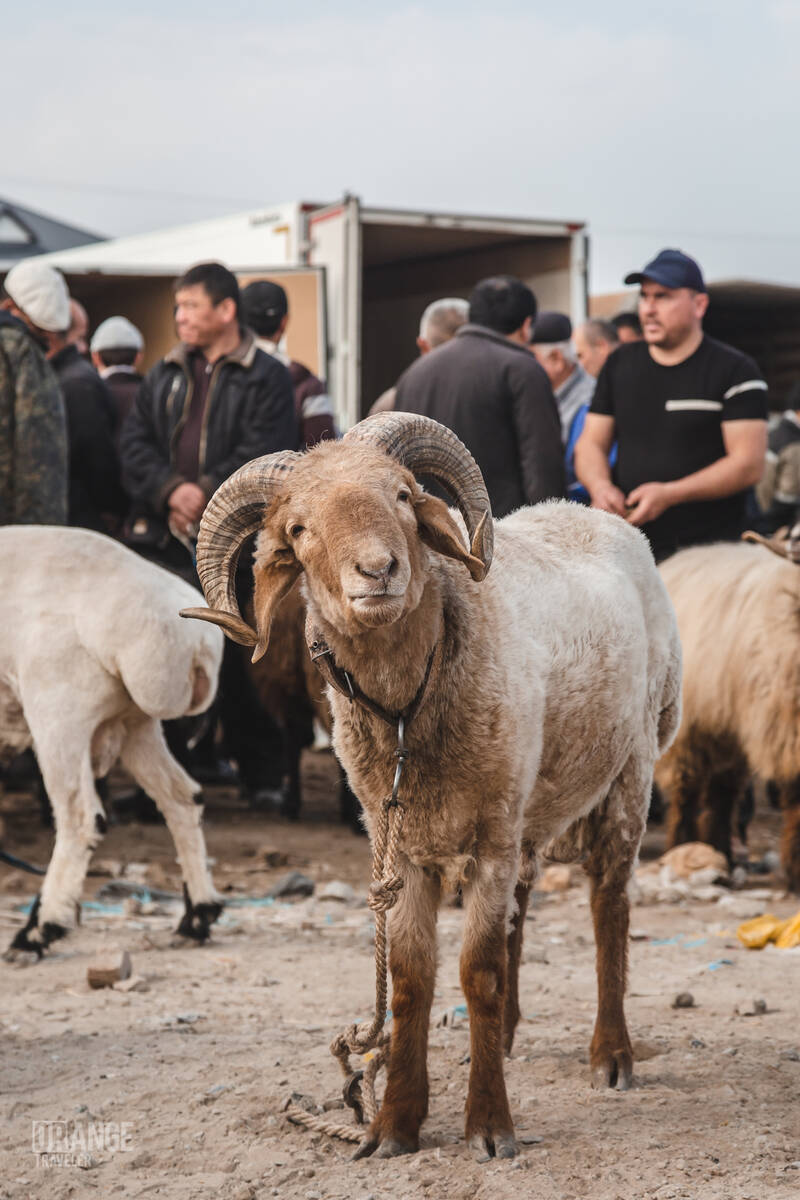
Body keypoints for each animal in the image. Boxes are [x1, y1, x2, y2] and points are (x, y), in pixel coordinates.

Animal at [0, 526, 224, 956]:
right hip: (135, 722)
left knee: (80, 819)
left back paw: (39, 930)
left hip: (59, 712)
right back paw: (197, 917)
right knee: (182, 797)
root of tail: (193, 638)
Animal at [182, 412, 681, 1162]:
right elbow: (412, 978)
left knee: (609, 905)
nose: (377, 572)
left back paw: (612, 1054)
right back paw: (502, 1037)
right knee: (523, 909)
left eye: (402, 495)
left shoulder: (491, 838)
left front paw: (489, 1126)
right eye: (297, 529)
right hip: (527, 804)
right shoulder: (402, 846)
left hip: (629, 770)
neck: (408, 707)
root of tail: (592, 512)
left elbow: (477, 972)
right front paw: (394, 1124)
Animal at [656, 532, 800, 891]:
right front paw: (795, 872)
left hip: (724, 728)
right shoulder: (785, 726)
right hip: (687, 727)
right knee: (686, 791)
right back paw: (681, 847)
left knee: (721, 794)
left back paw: (719, 851)